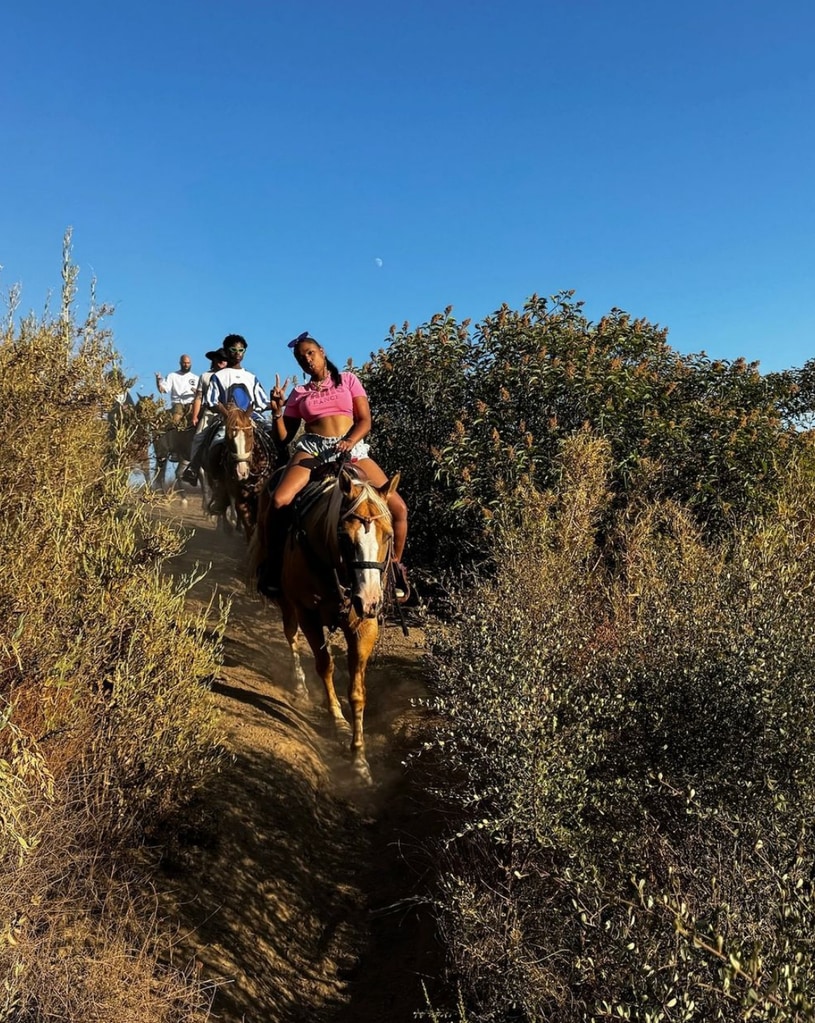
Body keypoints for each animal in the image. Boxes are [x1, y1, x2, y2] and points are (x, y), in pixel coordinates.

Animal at [249, 464, 398, 781]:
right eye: (344, 536)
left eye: (388, 536)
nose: (370, 600)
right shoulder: (308, 614)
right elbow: (325, 666)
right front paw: (338, 721)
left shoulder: (364, 626)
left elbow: (357, 692)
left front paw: (360, 760)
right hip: (288, 603)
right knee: (291, 636)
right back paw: (300, 687)